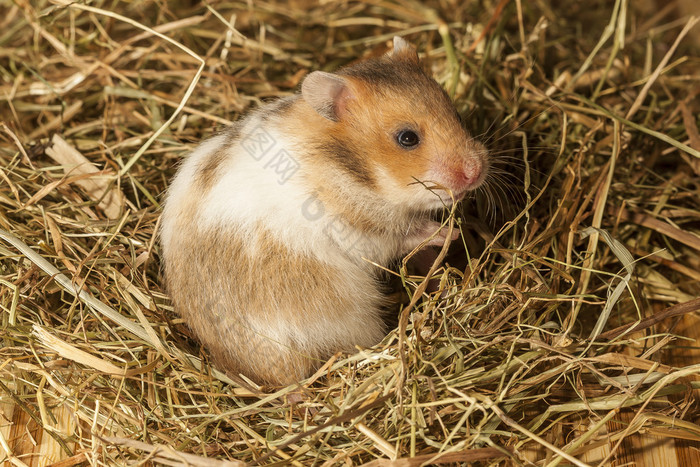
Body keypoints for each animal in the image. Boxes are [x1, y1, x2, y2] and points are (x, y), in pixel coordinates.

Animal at [160, 37, 486, 388]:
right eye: (407, 138)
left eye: (455, 113)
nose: (477, 171)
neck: (348, 169)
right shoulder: (363, 235)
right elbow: (405, 235)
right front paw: (450, 232)